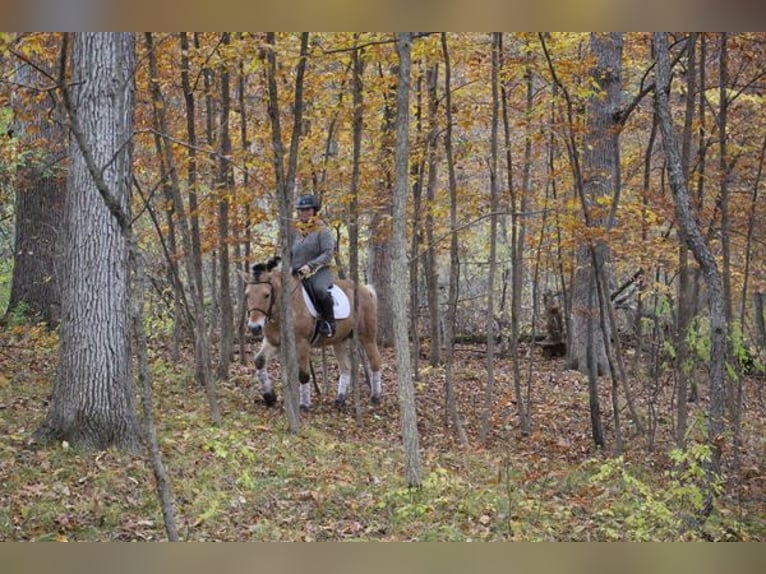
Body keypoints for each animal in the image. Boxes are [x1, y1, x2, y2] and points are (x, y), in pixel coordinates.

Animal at [240, 256, 382, 411]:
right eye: (247, 295)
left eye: (266, 295)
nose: (255, 327)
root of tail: (366, 289)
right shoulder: (273, 342)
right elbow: (259, 361)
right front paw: (269, 396)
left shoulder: (302, 343)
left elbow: (303, 374)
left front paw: (304, 404)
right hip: (339, 340)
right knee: (345, 368)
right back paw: (340, 400)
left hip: (367, 336)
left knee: (375, 361)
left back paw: (375, 397)